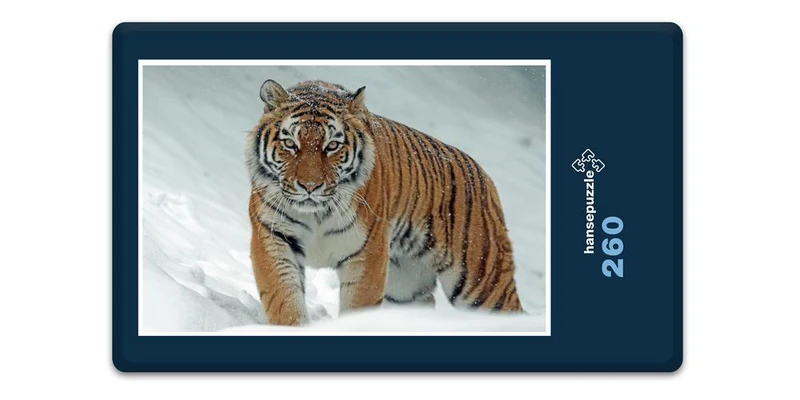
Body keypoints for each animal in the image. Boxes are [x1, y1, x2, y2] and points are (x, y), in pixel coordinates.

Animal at [246, 79, 524, 326]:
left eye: (332, 146)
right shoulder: (273, 238)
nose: (310, 186)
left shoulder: (367, 252)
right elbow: (284, 299)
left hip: (482, 280)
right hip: (406, 286)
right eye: (290, 144)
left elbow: (358, 306)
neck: (316, 214)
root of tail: (484, 175)